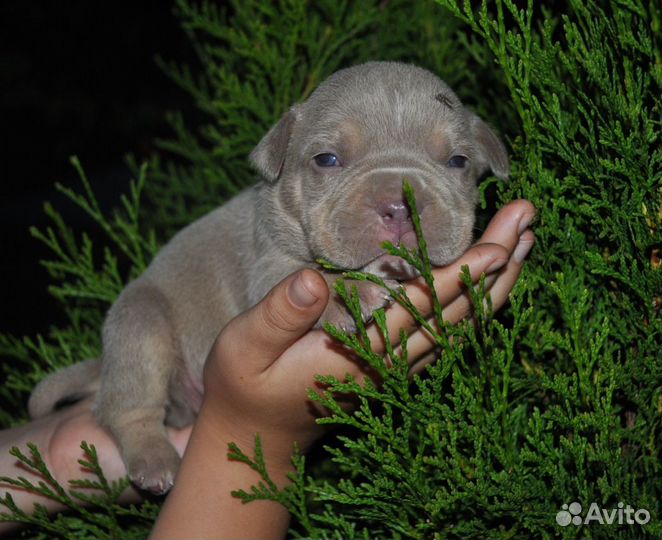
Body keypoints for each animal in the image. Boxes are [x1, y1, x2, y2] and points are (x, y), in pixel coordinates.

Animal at [28, 62, 510, 494]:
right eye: (327, 159)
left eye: (458, 161)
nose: (398, 204)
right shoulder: (270, 267)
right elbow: (313, 272)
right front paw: (351, 291)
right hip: (140, 324)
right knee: (126, 408)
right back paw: (153, 457)